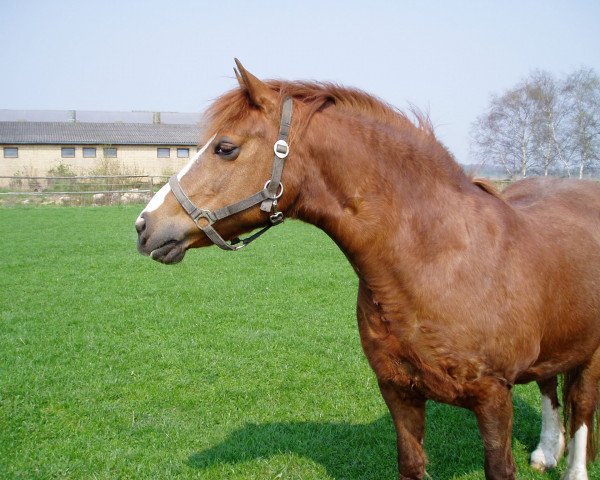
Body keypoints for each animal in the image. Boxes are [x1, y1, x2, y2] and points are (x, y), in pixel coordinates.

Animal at [136, 61, 600, 480]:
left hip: (589, 353)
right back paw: (545, 453)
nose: (144, 225)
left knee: (580, 409)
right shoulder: (398, 391)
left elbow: (503, 465)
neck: (437, 259)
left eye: (225, 148)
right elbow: (411, 464)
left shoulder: (493, 399)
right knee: (549, 388)